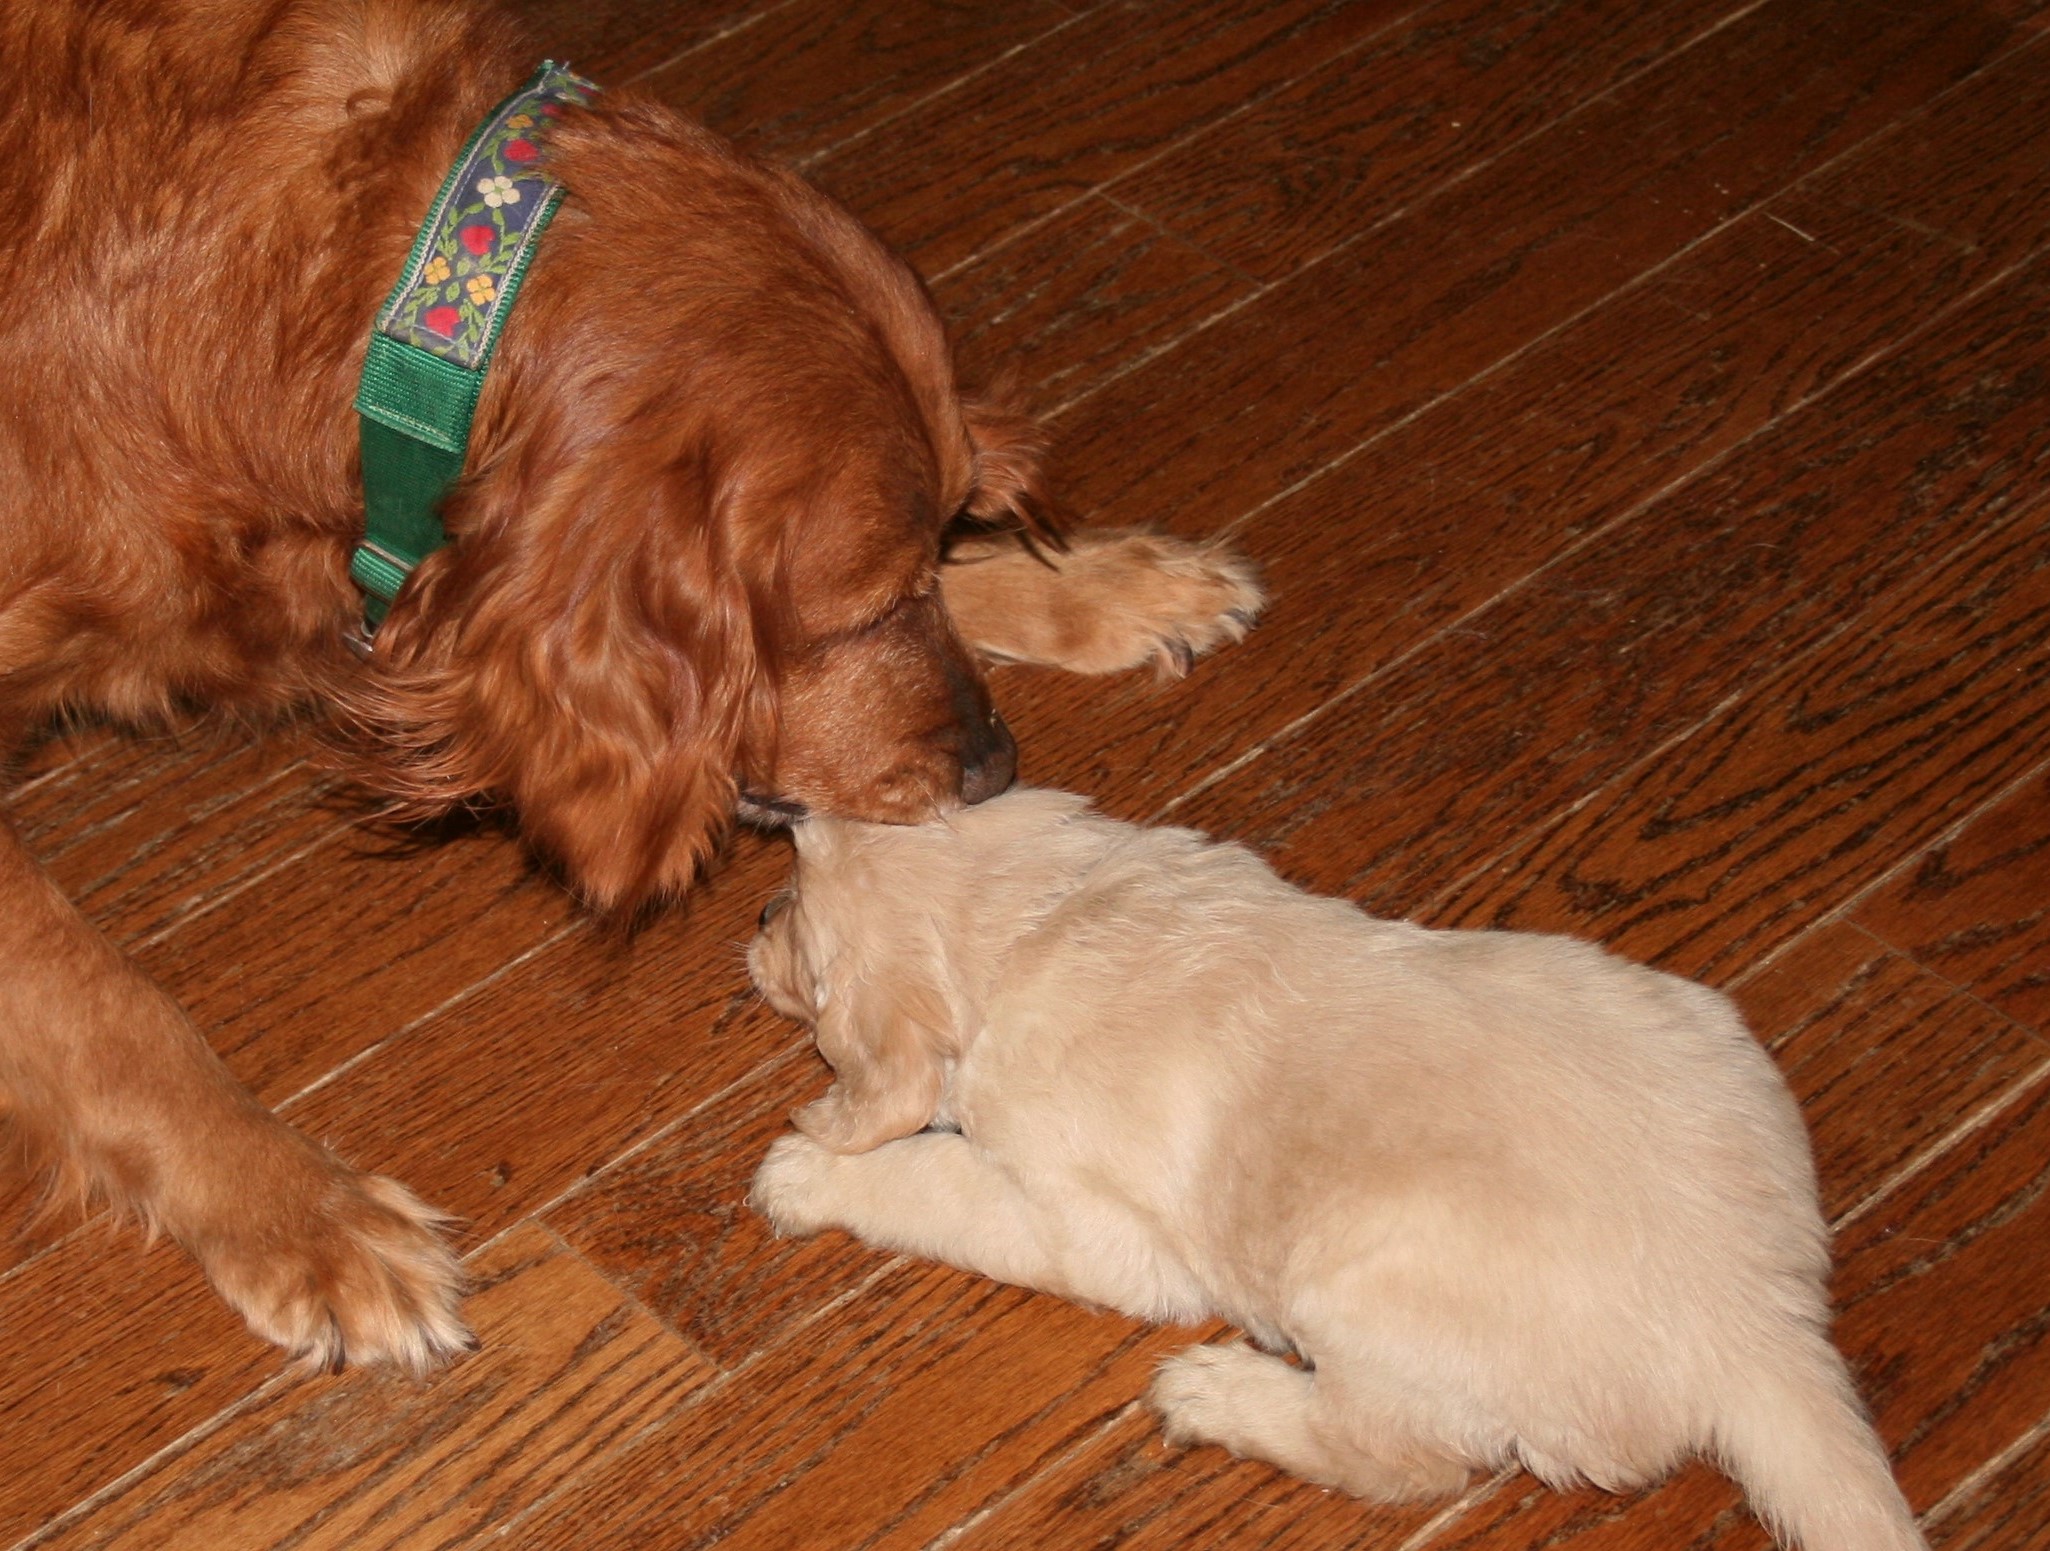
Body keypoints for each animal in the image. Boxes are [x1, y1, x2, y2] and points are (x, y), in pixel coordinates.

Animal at [750, 790, 1918, 1540]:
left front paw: (803, 1169)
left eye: (797, 914)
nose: (756, 914)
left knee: (1394, 1458)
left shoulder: (1092, 1232)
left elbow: (929, 1180)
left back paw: (1217, 1392)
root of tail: (1756, 1325)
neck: (1040, 917)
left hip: (1354, 1286)